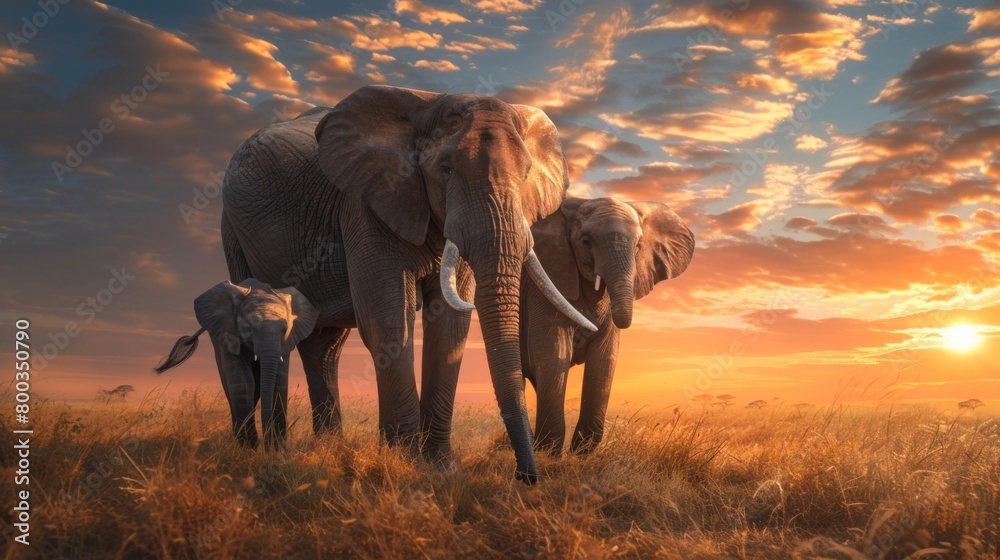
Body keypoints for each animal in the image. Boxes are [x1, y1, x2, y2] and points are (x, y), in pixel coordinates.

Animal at [155, 279, 318, 448]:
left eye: (284, 329)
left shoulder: (285, 342)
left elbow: (279, 383)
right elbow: (243, 381)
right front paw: (249, 448)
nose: (267, 446)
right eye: (248, 328)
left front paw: (276, 447)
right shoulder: (228, 333)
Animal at [220, 86, 595, 482]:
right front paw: (403, 462)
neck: (427, 106)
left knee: (325, 346)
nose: (526, 477)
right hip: (233, 231)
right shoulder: (366, 202)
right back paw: (272, 451)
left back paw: (329, 449)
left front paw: (440, 467)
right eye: (445, 170)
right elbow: (388, 319)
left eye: (525, 174)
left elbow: (451, 323)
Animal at [521, 197, 695, 455]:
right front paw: (548, 454)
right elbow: (553, 352)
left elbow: (604, 359)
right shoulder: (543, 285)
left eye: (638, 246)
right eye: (586, 242)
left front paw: (581, 454)